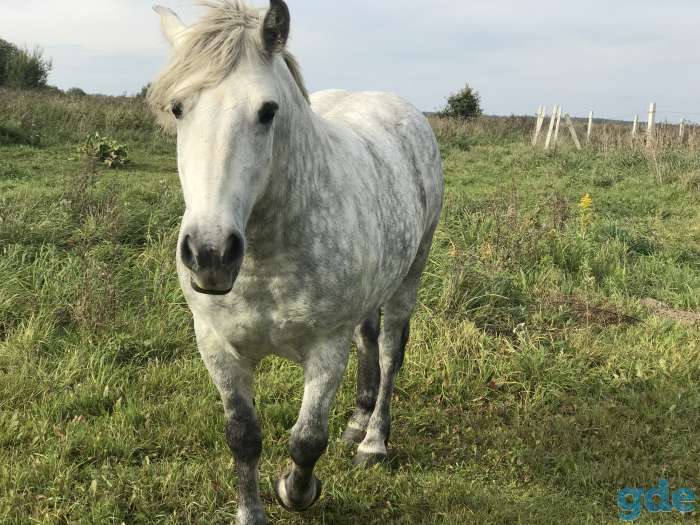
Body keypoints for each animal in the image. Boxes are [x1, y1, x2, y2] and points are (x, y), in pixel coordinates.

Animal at [149, 1, 444, 523]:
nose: (210, 254)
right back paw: (358, 421)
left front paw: (295, 491)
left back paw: (372, 441)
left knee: (390, 351)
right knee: (368, 340)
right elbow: (243, 437)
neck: (266, 257)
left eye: (268, 111)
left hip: (410, 275)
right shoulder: (217, 347)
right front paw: (251, 512)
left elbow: (307, 439)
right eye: (178, 108)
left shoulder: (326, 348)